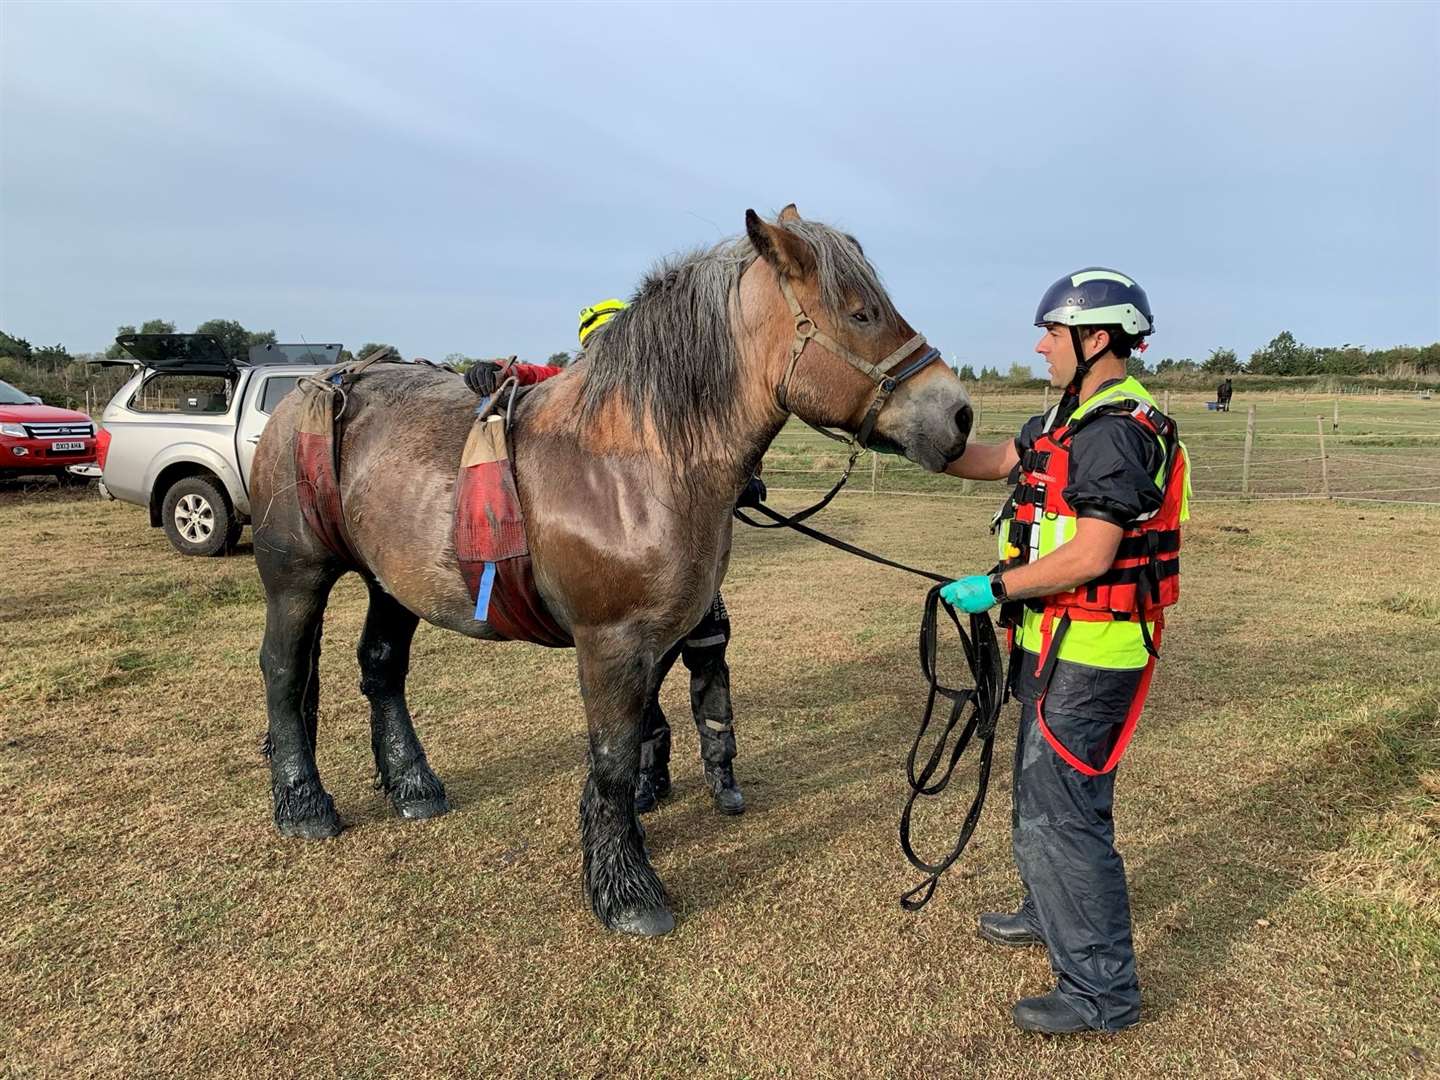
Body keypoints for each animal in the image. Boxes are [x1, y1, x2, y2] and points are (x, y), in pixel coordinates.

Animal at [253, 204, 979, 938]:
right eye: (860, 312)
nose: (959, 413)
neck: (633, 460)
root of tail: (313, 392)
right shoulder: (611, 643)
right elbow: (612, 754)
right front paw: (626, 890)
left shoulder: (654, 640)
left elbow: (637, 745)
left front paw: (627, 839)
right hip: (296, 578)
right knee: (283, 672)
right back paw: (304, 803)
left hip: (392, 585)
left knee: (381, 670)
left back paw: (413, 786)